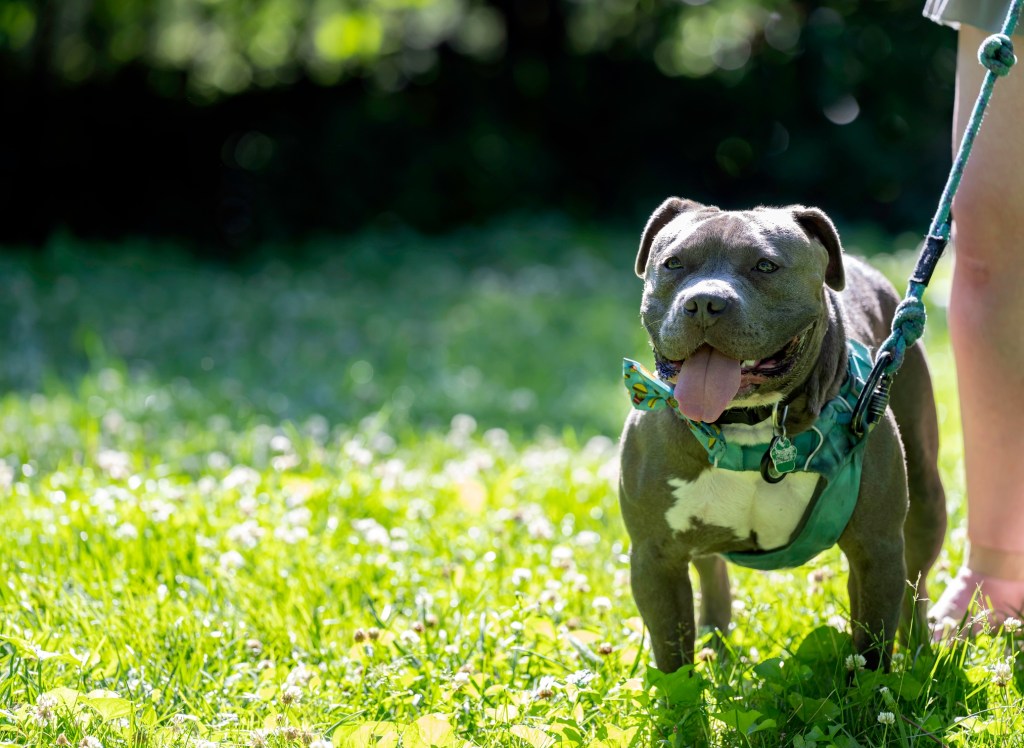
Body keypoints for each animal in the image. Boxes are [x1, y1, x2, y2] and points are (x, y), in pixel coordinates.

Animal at [614, 197, 942, 672]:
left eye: (765, 266)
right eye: (673, 263)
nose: (704, 302)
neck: (747, 426)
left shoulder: (876, 551)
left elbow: (870, 651)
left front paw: (875, 691)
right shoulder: (655, 557)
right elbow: (673, 657)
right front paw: (685, 692)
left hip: (926, 495)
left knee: (916, 588)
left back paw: (921, 656)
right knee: (711, 569)